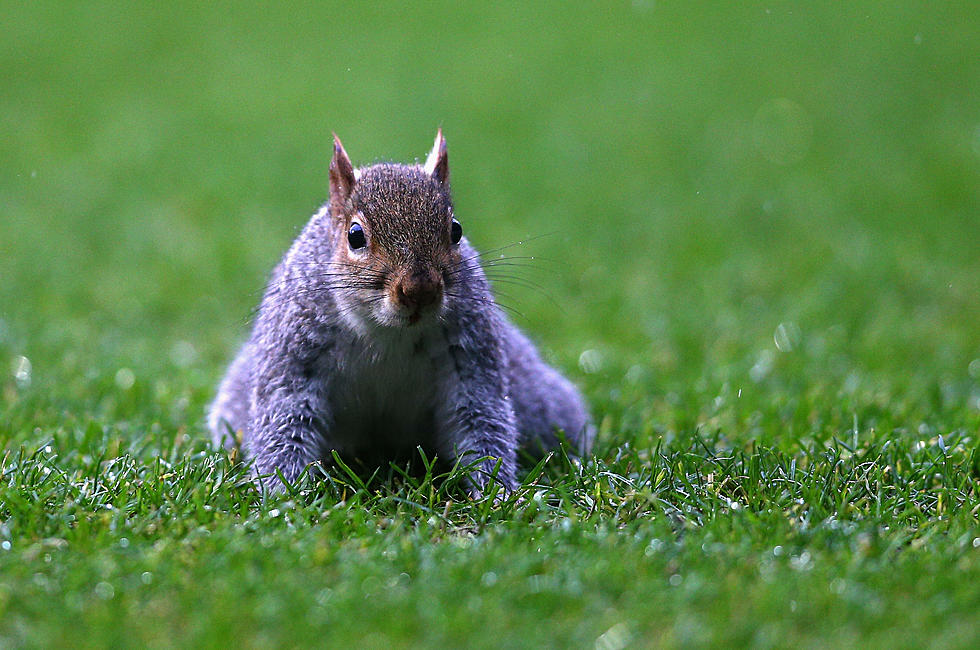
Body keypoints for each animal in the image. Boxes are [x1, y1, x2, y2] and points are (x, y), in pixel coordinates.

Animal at [209, 130, 588, 496]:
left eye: (456, 230)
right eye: (355, 235)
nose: (420, 291)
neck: (388, 333)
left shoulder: (471, 361)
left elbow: (482, 419)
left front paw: (498, 493)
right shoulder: (295, 355)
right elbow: (285, 418)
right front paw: (283, 494)